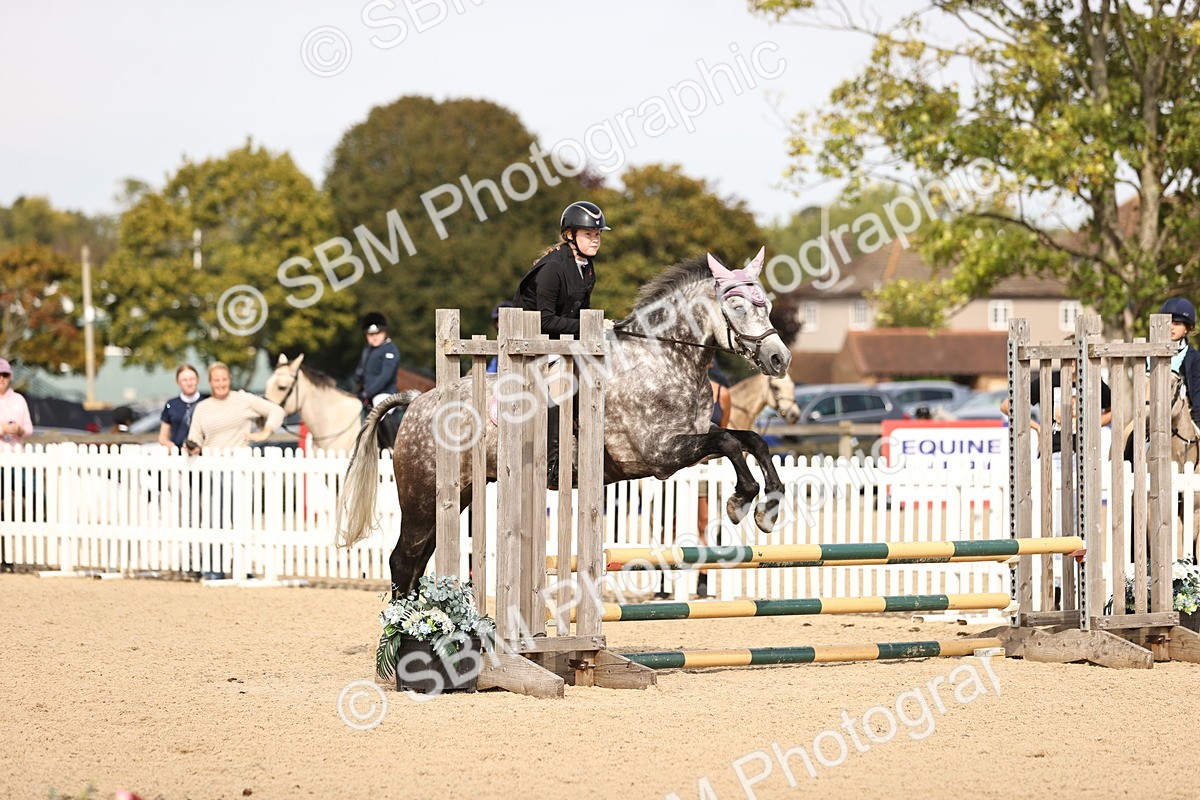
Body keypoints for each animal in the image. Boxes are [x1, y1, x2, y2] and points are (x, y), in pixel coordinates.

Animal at [336, 248, 793, 596]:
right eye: (737, 306)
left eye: (767, 306)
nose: (779, 359)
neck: (663, 355)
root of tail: (417, 401)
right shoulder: (660, 453)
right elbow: (732, 444)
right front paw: (741, 502)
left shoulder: (694, 442)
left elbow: (750, 440)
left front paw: (767, 510)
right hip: (421, 495)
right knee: (404, 559)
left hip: (456, 494)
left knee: (420, 558)